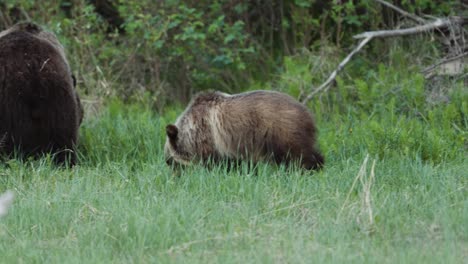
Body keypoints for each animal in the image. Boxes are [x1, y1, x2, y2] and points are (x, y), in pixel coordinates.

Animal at [165, 89, 326, 170]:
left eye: (170, 158)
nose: (167, 163)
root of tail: (308, 113)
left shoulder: (210, 137)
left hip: (282, 130)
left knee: (298, 154)